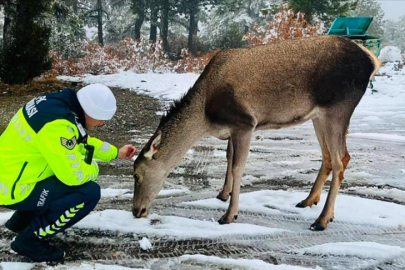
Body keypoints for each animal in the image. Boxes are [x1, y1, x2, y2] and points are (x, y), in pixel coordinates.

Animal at [131, 34, 380, 231]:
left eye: (136, 175)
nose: (136, 211)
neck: (205, 117)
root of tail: (372, 61)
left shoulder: (245, 122)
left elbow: (238, 167)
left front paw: (229, 215)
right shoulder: (232, 128)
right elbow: (228, 158)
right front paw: (223, 195)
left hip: (338, 108)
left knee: (341, 159)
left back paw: (322, 220)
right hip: (318, 116)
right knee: (328, 156)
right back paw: (309, 201)